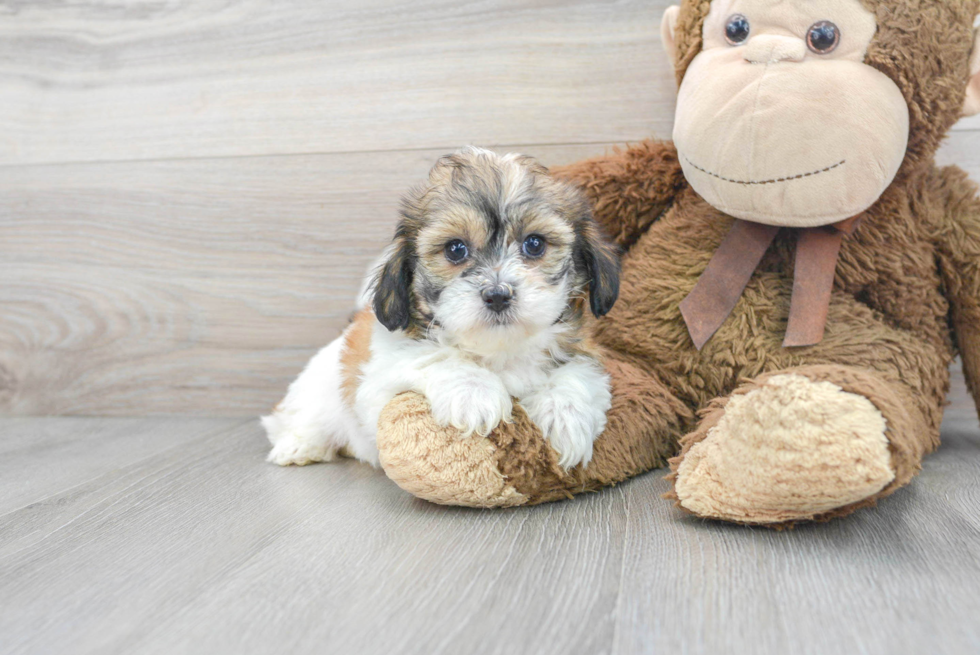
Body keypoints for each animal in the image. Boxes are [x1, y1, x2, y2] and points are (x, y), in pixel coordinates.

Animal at [262, 147, 620, 468]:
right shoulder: (379, 379)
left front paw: (564, 416)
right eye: (455, 249)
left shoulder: (586, 353)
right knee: (294, 420)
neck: (499, 351)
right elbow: (435, 356)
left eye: (534, 244)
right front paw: (476, 394)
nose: (497, 295)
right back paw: (298, 446)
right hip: (313, 397)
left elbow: (577, 372)